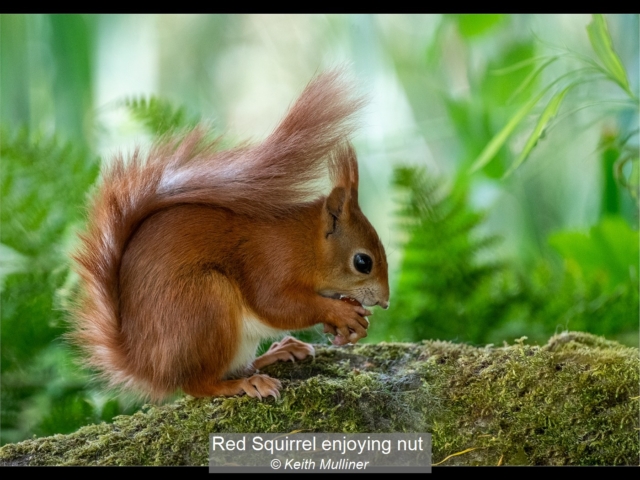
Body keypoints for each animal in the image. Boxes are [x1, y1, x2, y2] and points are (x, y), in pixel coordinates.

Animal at [69, 71, 390, 401]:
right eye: (363, 262)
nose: (386, 302)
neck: (304, 243)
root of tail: (148, 367)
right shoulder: (270, 261)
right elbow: (277, 304)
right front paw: (340, 313)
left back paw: (278, 352)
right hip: (206, 303)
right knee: (200, 384)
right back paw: (245, 383)